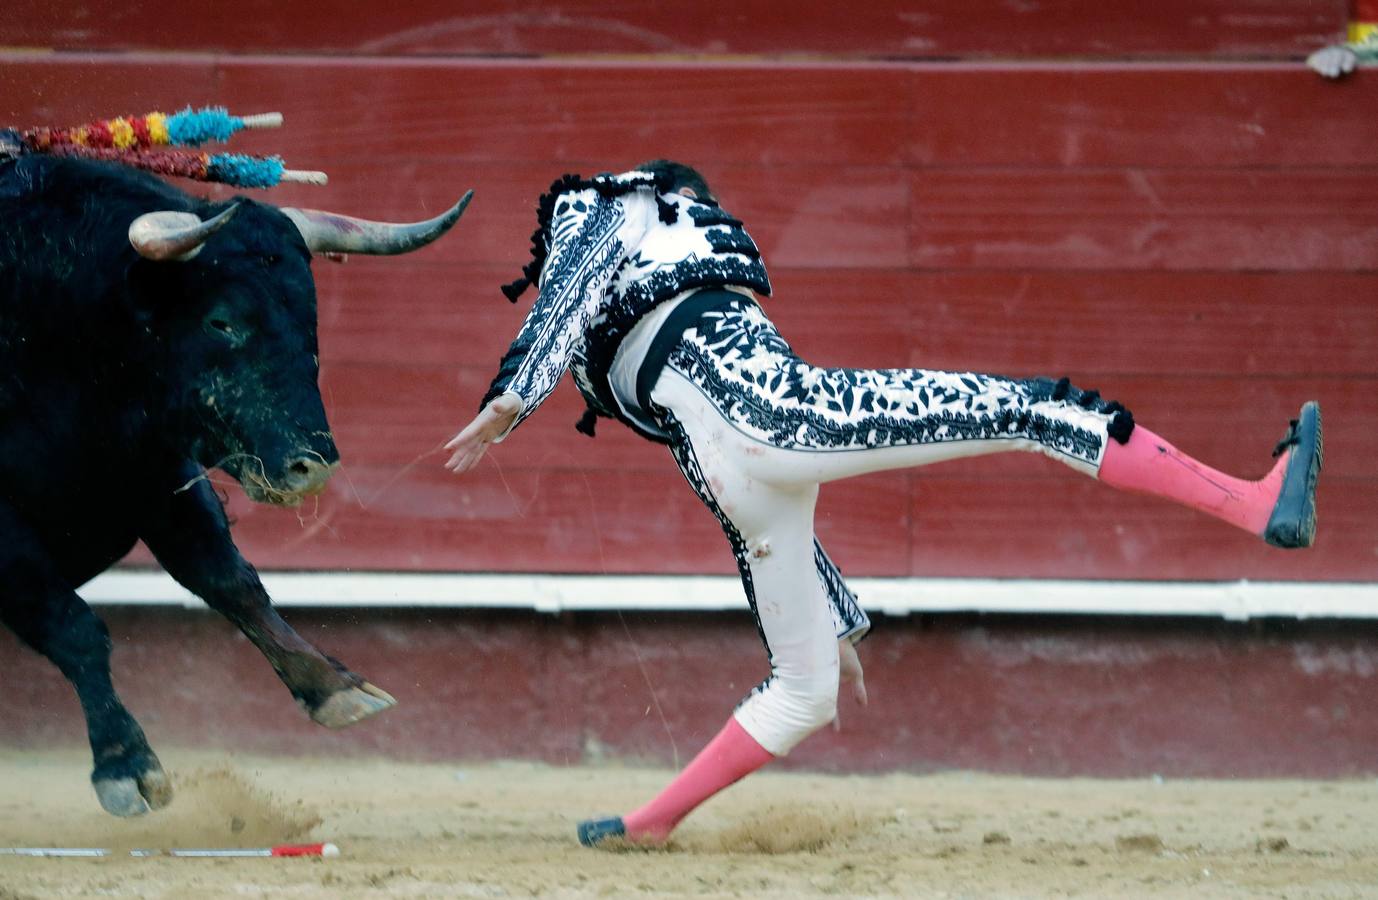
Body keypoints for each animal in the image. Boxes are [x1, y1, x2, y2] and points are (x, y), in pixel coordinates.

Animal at [0, 154, 471, 815]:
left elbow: (231, 580)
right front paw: (127, 765)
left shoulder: (156, 471)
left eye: (310, 318)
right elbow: (72, 624)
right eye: (220, 320)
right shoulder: (8, 534)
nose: (314, 466)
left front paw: (333, 687)